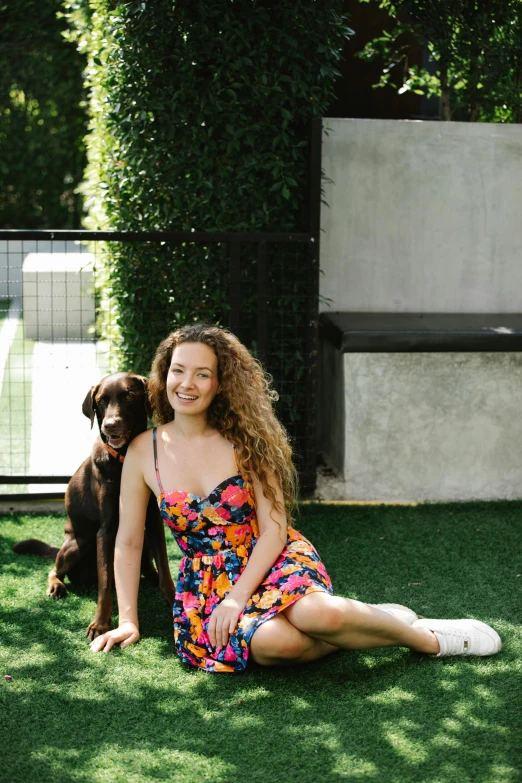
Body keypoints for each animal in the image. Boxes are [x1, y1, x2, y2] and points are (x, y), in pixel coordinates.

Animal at [12, 376, 174, 644]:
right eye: (101, 401)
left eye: (128, 396)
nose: (110, 426)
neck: (124, 459)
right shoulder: (105, 530)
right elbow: (106, 581)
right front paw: (100, 625)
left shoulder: (153, 521)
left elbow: (164, 569)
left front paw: (172, 601)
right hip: (79, 544)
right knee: (54, 569)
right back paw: (56, 586)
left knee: (146, 567)